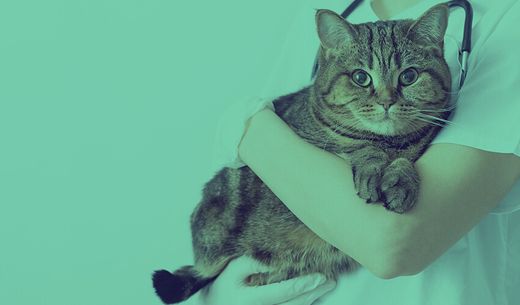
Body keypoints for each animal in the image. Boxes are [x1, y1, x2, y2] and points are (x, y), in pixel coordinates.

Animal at [153, 3, 450, 302]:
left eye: (409, 76)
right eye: (360, 77)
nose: (387, 102)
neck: (391, 142)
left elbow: (403, 161)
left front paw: (400, 180)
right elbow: (360, 148)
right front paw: (373, 166)